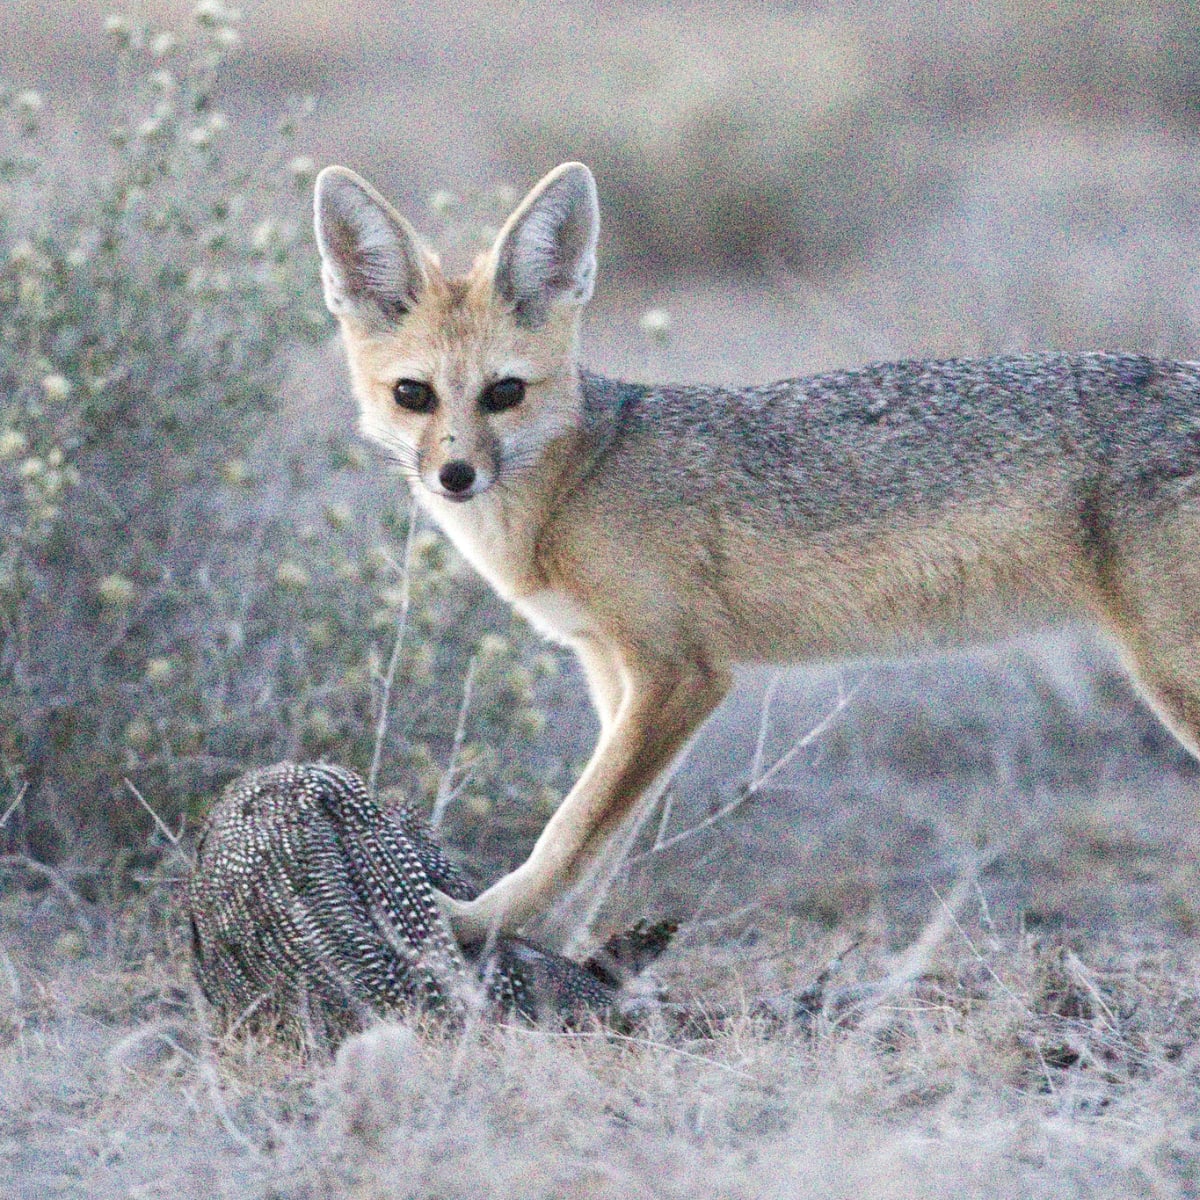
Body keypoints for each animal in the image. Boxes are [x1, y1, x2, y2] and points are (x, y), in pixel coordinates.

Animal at [314, 159, 1200, 943]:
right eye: (414, 395)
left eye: (504, 393)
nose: (455, 474)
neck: (575, 485)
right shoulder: (617, 677)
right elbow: (604, 842)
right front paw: (555, 953)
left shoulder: (681, 675)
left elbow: (570, 829)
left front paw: (475, 923)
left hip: (1172, 680)